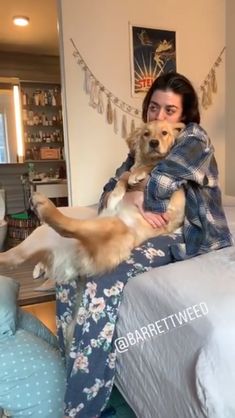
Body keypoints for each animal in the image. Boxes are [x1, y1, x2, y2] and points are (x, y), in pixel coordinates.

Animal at [0, 121, 185, 284]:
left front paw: (139, 173)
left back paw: (42, 204)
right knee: (13, 256)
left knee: (69, 226)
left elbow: (156, 166)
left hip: (110, 227)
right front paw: (121, 188)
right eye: (146, 133)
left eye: (164, 133)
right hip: (38, 236)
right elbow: (123, 176)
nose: (154, 143)